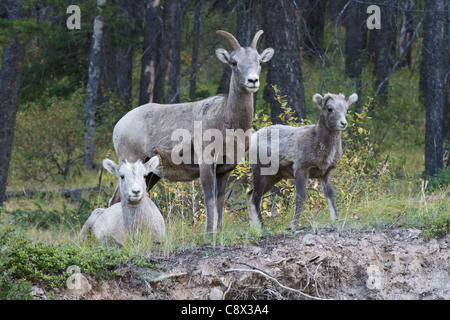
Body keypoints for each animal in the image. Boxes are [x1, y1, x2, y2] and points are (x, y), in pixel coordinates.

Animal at [109, 29, 274, 232]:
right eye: (234, 63)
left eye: (259, 62)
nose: (252, 81)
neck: (229, 123)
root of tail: (119, 125)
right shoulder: (206, 164)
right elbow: (209, 199)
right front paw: (209, 233)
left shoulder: (225, 170)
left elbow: (220, 201)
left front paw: (219, 231)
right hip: (131, 162)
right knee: (115, 200)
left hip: (151, 174)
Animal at [246, 92, 358, 230]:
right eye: (329, 108)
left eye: (346, 109)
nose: (343, 123)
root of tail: (253, 137)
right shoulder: (301, 169)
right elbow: (300, 197)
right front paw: (294, 225)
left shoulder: (326, 173)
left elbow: (330, 196)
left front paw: (335, 220)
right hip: (260, 171)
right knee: (256, 198)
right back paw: (262, 227)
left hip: (274, 177)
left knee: (250, 194)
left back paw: (254, 228)